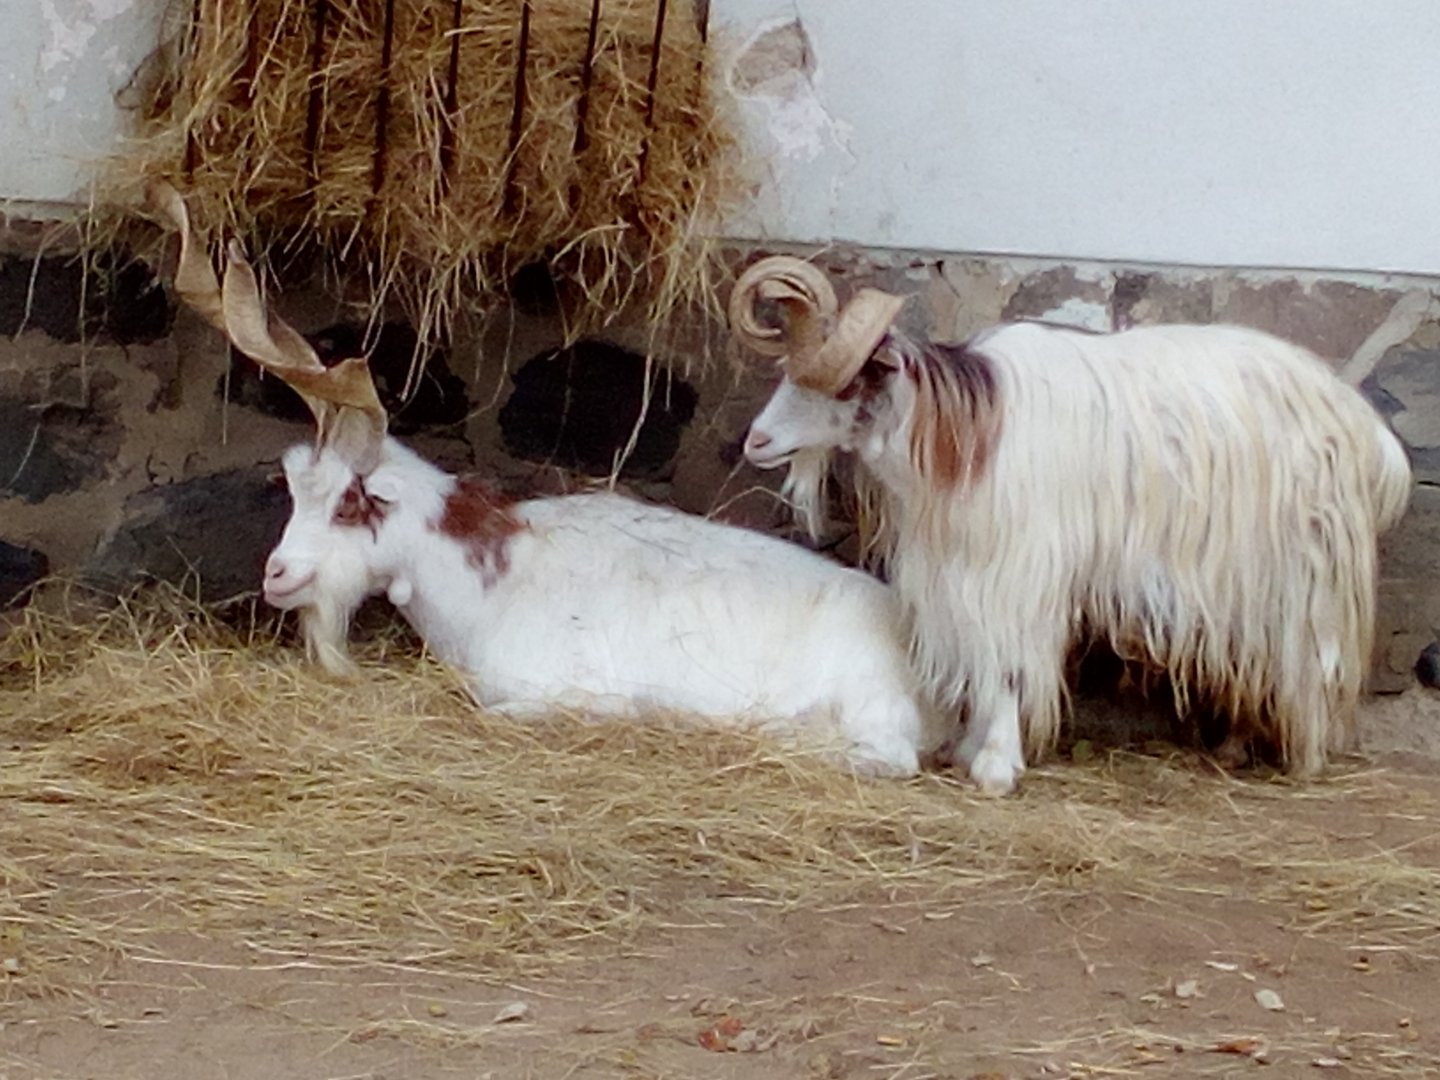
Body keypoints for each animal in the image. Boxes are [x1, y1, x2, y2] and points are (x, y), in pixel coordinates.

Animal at [730, 256, 1413, 794]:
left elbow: (1008, 662)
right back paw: (1233, 747)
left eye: (840, 385)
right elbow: (982, 656)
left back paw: (1306, 759)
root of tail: (1373, 440)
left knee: (1311, 661)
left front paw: (996, 765)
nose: (756, 440)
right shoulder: (958, 567)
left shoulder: (1017, 567)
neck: (962, 433)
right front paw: (970, 749)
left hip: (1305, 570)